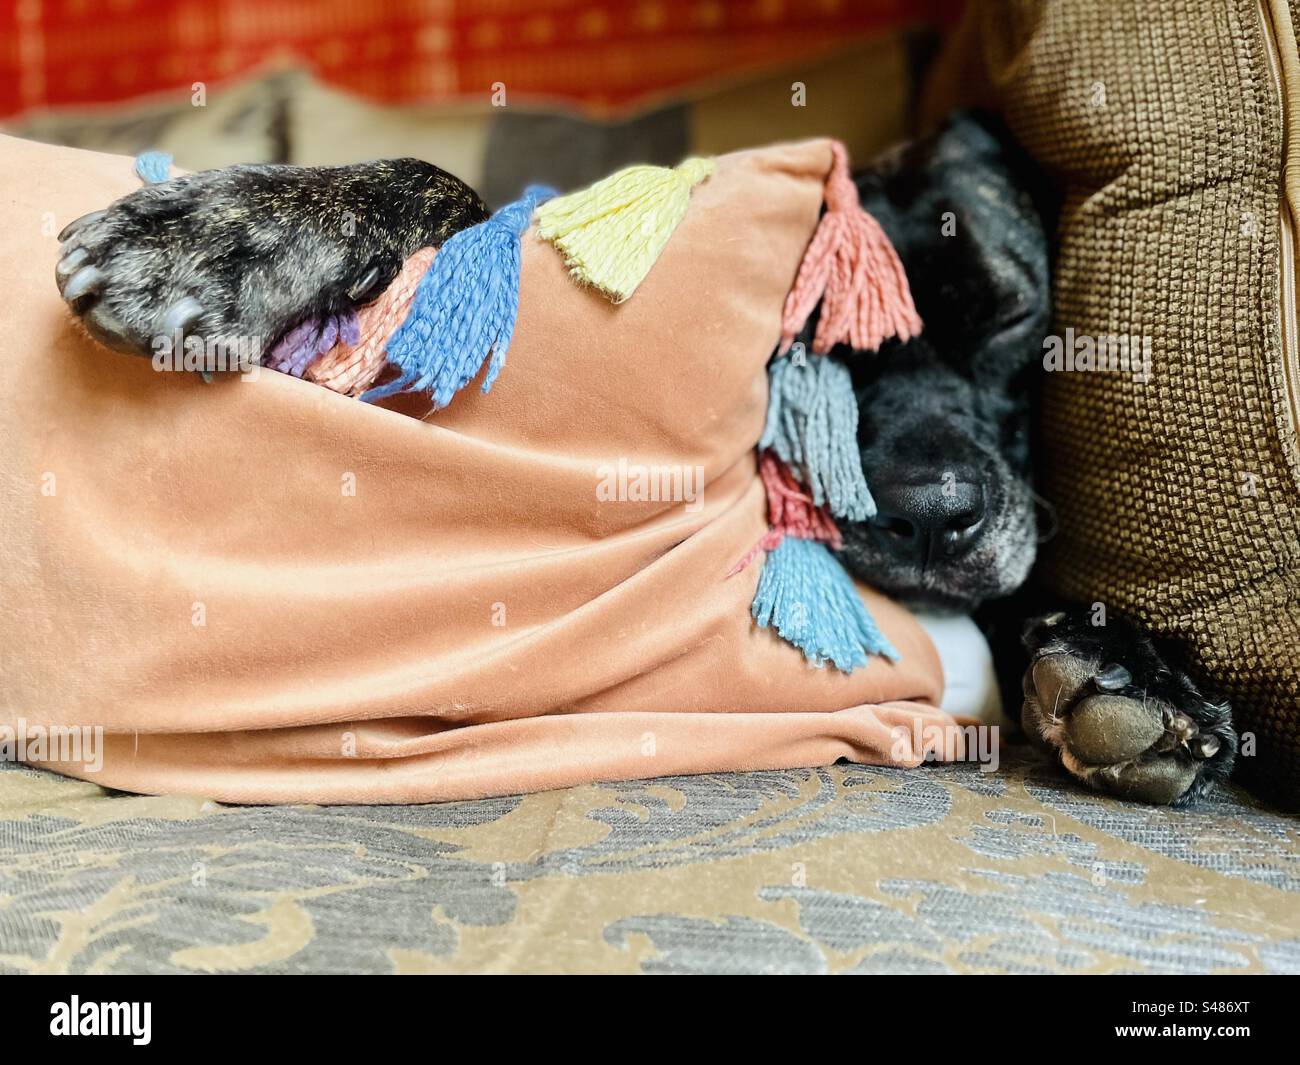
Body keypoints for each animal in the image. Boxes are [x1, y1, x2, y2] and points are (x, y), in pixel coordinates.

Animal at [55, 112, 1237, 806]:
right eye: (786, 351)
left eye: (1009, 313)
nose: (935, 515)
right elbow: (453, 192)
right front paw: (234, 229)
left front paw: (1133, 666)